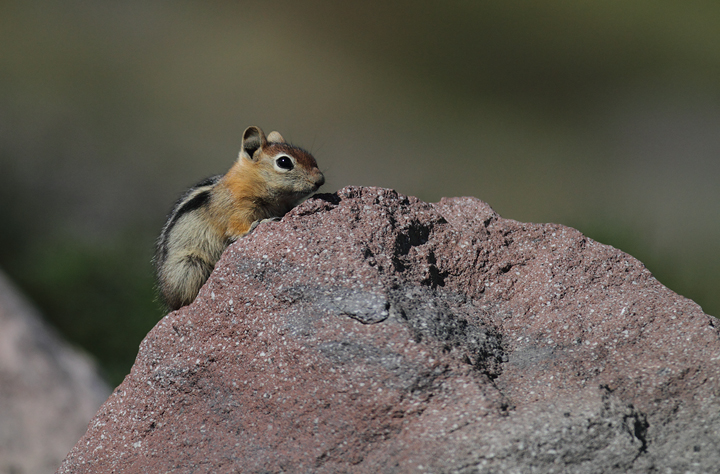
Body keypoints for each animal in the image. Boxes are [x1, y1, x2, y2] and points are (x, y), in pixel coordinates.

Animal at [154, 125, 324, 312]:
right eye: (284, 162)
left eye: (312, 157)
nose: (320, 180)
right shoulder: (237, 211)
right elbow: (238, 229)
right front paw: (262, 222)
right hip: (190, 266)